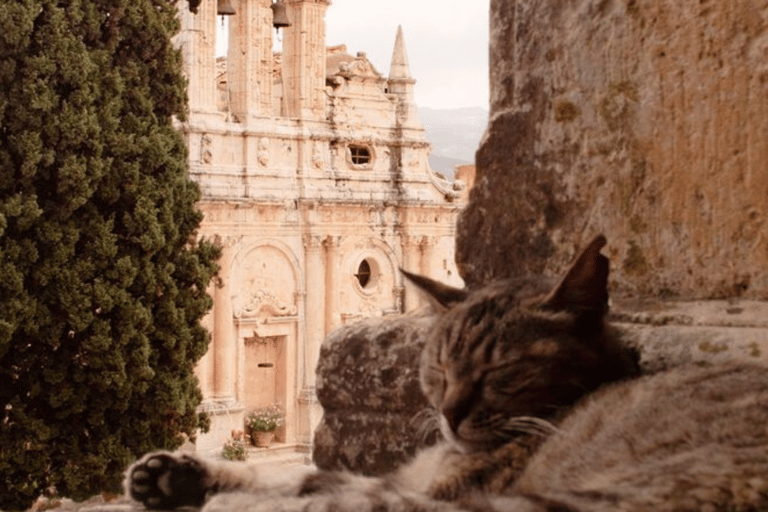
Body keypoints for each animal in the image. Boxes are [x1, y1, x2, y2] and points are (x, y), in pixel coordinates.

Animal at [124, 237, 768, 512]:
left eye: (502, 368)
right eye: (437, 364)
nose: (450, 415)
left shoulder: (420, 489)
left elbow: (311, 487)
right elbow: (297, 477)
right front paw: (180, 474)